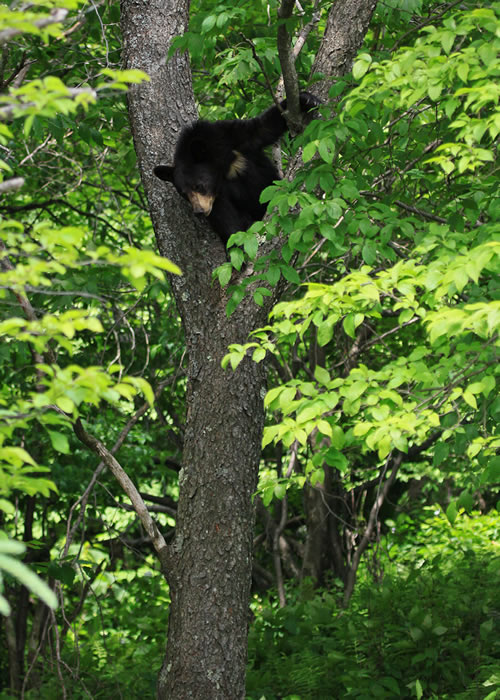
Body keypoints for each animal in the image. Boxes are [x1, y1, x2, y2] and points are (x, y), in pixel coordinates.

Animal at [152, 93, 318, 242]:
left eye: (198, 186)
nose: (199, 211)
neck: (221, 168)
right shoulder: (217, 198)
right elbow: (226, 219)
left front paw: (307, 99)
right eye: (184, 194)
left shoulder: (233, 136)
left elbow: (264, 126)